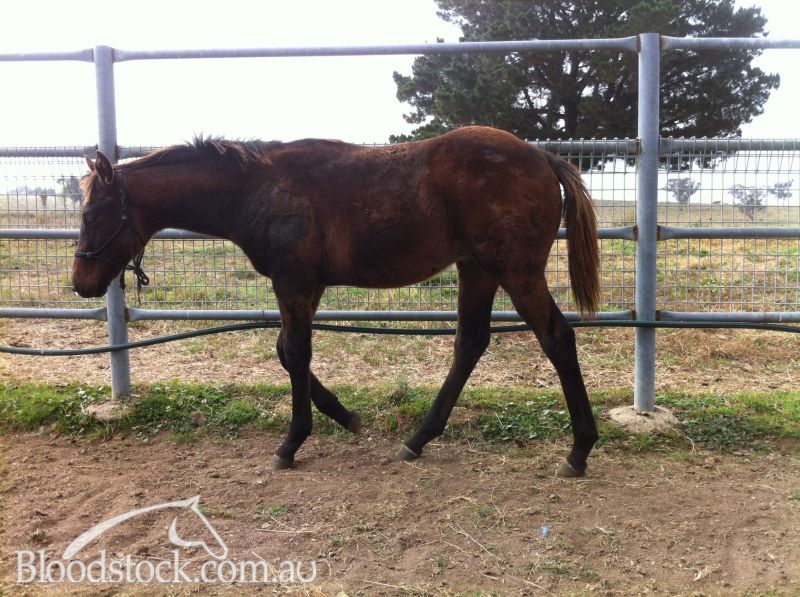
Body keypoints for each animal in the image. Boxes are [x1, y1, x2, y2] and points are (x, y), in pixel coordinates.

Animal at [72, 126, 600, 477]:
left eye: (93, 214)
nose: (81, 283)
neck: (259, 188)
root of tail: (542, 157)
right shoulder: (310, 285)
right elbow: (287, 353)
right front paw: (347, 416)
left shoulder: (293, 281)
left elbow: (296, 353)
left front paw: (291, 442)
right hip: (477, 270)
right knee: (470, 343)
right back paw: (417, 439)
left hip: (516, 272)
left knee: (557, 338)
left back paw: (579, 451)